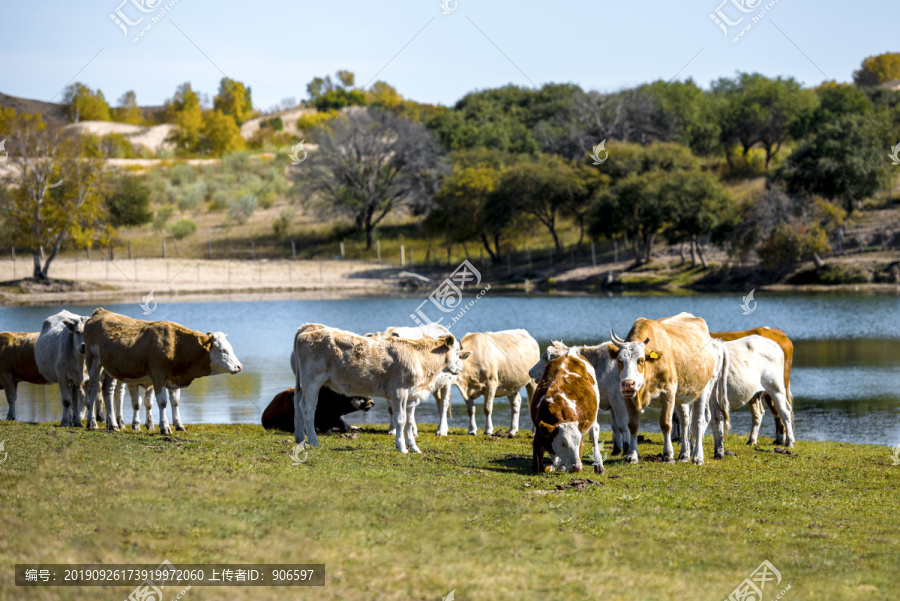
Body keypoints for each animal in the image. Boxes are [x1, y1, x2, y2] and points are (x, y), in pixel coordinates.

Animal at [84, 310, 243, 432]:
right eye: (222, 350)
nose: (239, 366)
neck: (175, 345)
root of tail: (101, 311)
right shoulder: (158, 375)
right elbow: (163, 402)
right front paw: (165, 427)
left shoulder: (174, 378)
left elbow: (175, 402)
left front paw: (179, 425)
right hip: (93, 361)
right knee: (93, 389)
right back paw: (92, 423)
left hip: (110, 367)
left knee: (108, 392)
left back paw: (113, 424)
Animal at [294, 322, 468, 452]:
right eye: (457, 351)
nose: (460, 368)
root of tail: (306, 330)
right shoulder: (399, 391)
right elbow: (400, 420)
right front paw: (402, 447)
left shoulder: (411, 394)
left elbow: (409, 422)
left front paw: (413, 447)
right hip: (312, 381)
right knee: (308, 408)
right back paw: (314, 441)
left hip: (302, 383)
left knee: (297, 403)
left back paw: (300, 439)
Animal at [528, 346, 604, 474]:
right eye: (562, 443)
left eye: (579, 442)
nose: (577, 467)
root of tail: (570, 353)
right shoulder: (539, 433)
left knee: (594, 432)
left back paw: (599, 464)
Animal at [608, 312, 728, 466]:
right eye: (619, 360)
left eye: (641, 360)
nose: (628, 383)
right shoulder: (628, 398)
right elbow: (633, 425)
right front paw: (632, 456)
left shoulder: (668, 393)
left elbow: (666, 424)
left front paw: (668, 455)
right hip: (682, 395)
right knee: (685, 420)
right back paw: (684, 454)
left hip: (703, 389)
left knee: (699, 420)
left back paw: (697, 456)